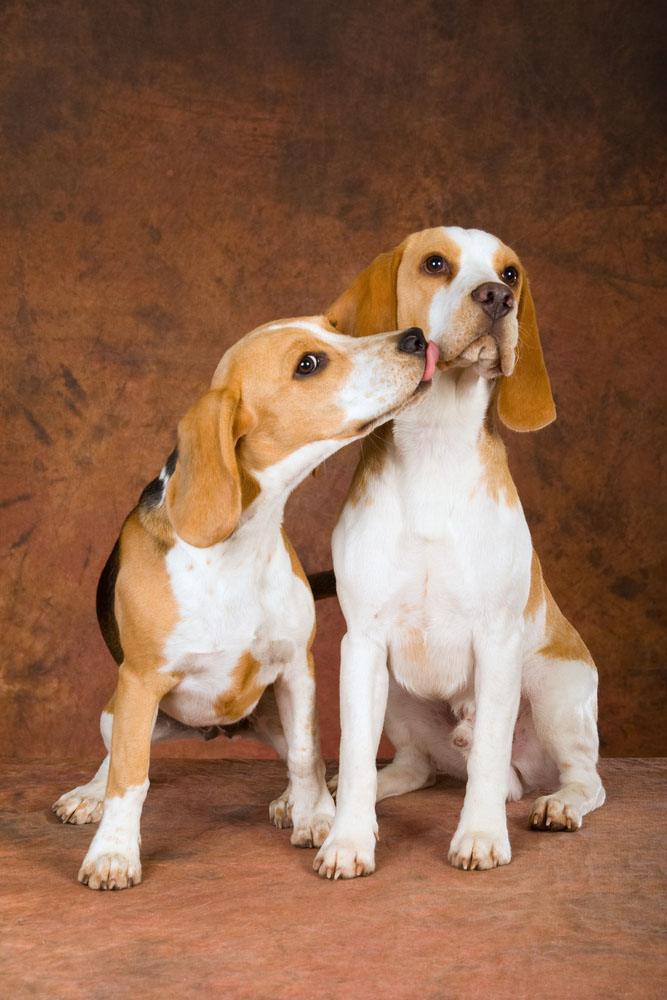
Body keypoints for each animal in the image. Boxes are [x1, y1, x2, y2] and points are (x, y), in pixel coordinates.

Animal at [51, 316, 428, 888]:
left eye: (336, 328)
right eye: (308, 364)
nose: (417, 338)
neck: (240, 546)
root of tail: (216, 732)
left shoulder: (298, 668)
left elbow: (305, 755)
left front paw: (315, 817)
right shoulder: (140, 682)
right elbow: (130, 776)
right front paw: (113, 852)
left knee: (306, 756)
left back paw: (296, 801)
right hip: (119, 711)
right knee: (116, 755)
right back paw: (90, 794)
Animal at [312, 225, 604, 876]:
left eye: (511, 272)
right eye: (434, 264)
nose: (498, 297)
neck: (436, 447)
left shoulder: (497, 642)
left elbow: (490, 757)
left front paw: (480, 836)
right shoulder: (362, 643)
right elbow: (356, 749)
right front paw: (348, 839)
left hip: (556, 691)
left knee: (580, 779)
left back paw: (555, 803)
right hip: (393, 692)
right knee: (412, 767)